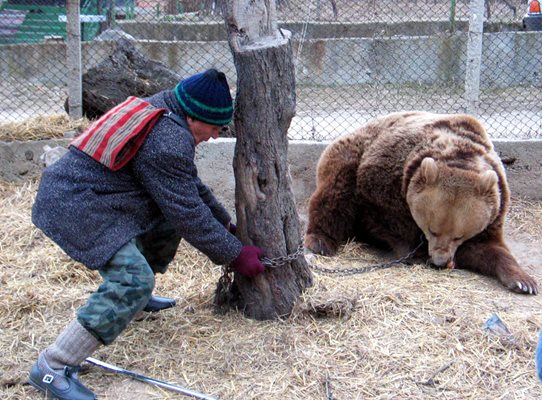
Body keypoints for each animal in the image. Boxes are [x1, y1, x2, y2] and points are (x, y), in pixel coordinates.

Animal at [306, 111, 540, 296]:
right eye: (432, 229)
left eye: (459, 235)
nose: (439, 260)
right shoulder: (386, 179)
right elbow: (387, 218)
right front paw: (415, 254)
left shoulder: (494, 210)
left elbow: (488, 247)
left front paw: (524, 282)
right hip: (347, 154)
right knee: (335, 194)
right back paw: (320, 241)